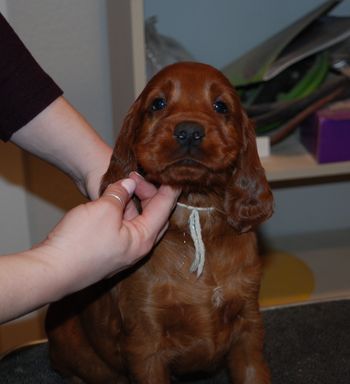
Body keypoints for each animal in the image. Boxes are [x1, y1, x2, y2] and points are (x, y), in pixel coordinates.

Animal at [45, 63, 274, 384]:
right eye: (158, 104)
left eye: (221, 106)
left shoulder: (248, 327)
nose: (189, 131)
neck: (197, 215)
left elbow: (253, 372)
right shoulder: (145, 342)